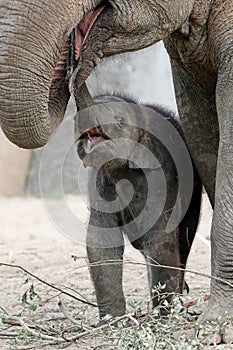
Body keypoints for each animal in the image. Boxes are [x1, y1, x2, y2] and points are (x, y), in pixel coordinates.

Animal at [75, 95, 202, 320]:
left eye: (120, 119)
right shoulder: (100, 181)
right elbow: (102, 239)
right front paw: (112, 321)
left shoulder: (160, 173)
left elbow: (159, 235)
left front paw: (163, 318)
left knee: (184, 239)